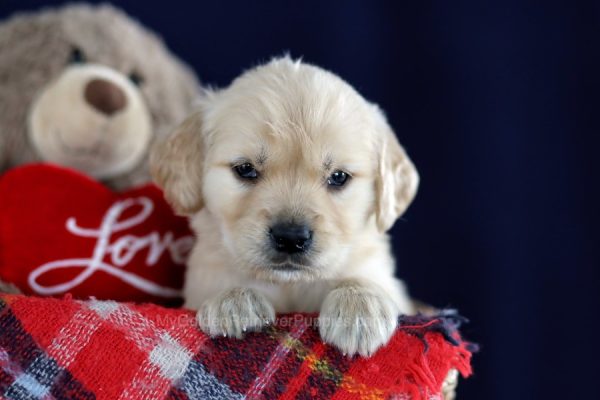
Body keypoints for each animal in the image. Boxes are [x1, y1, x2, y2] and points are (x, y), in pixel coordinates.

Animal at [152, 56, 420, 356]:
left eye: (339, 176)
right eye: (245, 169)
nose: (291, 238)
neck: (289, 285)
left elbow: (362, 278)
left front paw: (360, 308)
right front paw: (232, 300)